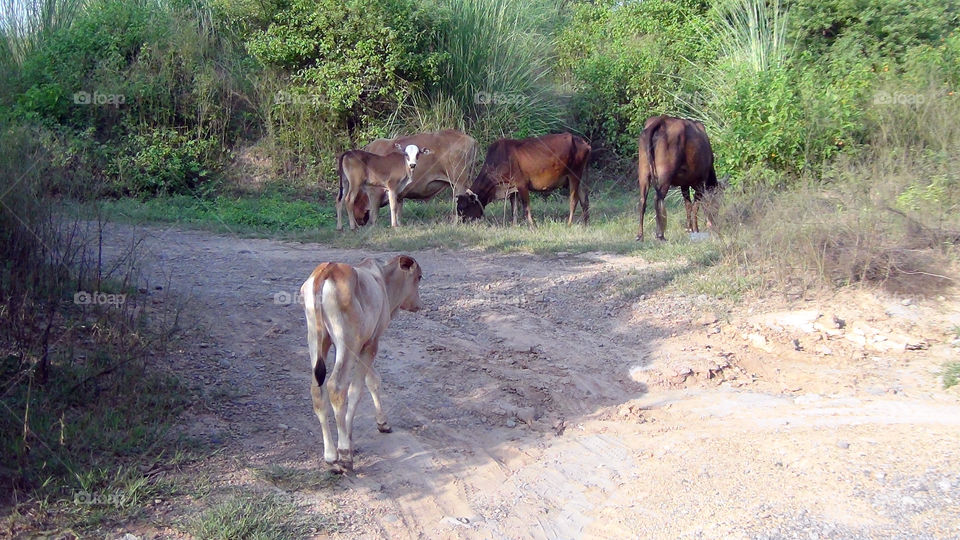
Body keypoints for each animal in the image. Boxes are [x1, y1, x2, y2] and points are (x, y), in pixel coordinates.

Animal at [300, 255, 424, 472]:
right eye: (418, 277)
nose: (418, 304)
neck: (382, 281)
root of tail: (327, 270)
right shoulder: (370, 343)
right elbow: (359, 388)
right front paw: (350, 442)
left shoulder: (362, 346)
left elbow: (371, 379)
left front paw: (381, 423)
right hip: (345, 341)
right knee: (337, 387)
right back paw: (342, 453)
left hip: (316, 339)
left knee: (317, 389)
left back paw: (330, 455)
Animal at [456, 133, 591, 225]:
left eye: (463, 207)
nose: (461, 222)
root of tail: (583, 143)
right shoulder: (512, 189)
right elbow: (514, 209)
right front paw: (514, 225)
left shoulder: (522, 185)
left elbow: (525, 207)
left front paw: (532, 226)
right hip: (578, 179)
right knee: (585, 200)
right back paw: (585, 224)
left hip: (574, 176)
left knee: (574, 200)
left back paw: (569, 224)